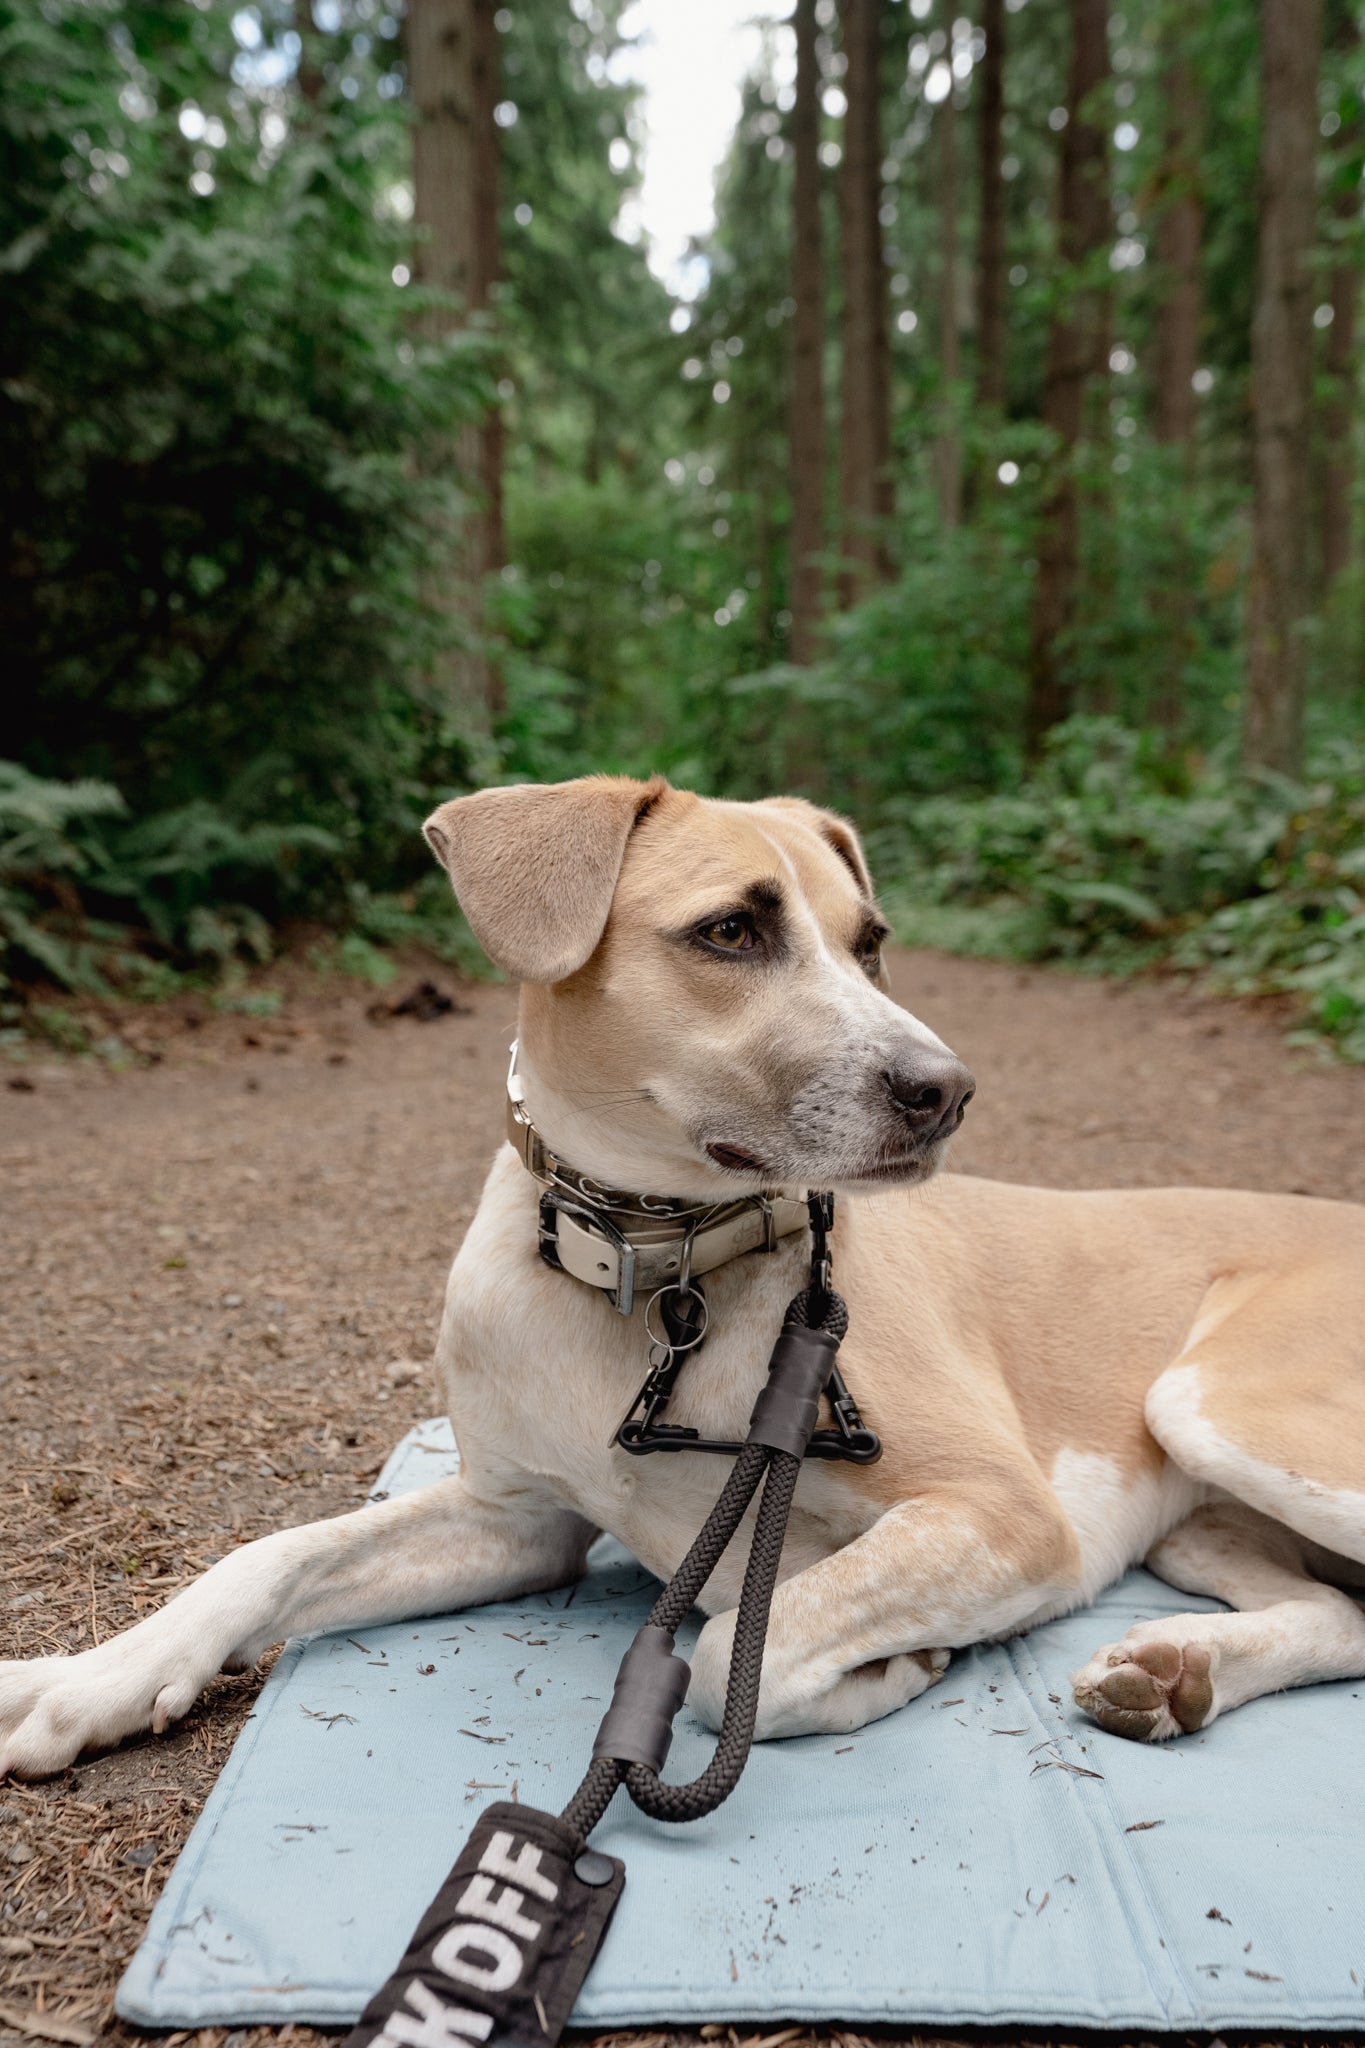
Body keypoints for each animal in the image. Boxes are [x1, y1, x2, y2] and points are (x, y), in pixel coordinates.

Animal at [2, 770, 1365, 1777]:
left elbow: (723, 1655)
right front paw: (90, 1680)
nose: (948, 1091)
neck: (653, 1272)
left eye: (870, 943)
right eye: (731, 929)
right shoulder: (514, 1521)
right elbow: (270, 1554)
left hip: (1215, 1407)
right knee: (1344, 1616)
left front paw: (892, 1666)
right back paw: (1180, 1672)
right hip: (1206, 1511)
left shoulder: (1007, 1515)